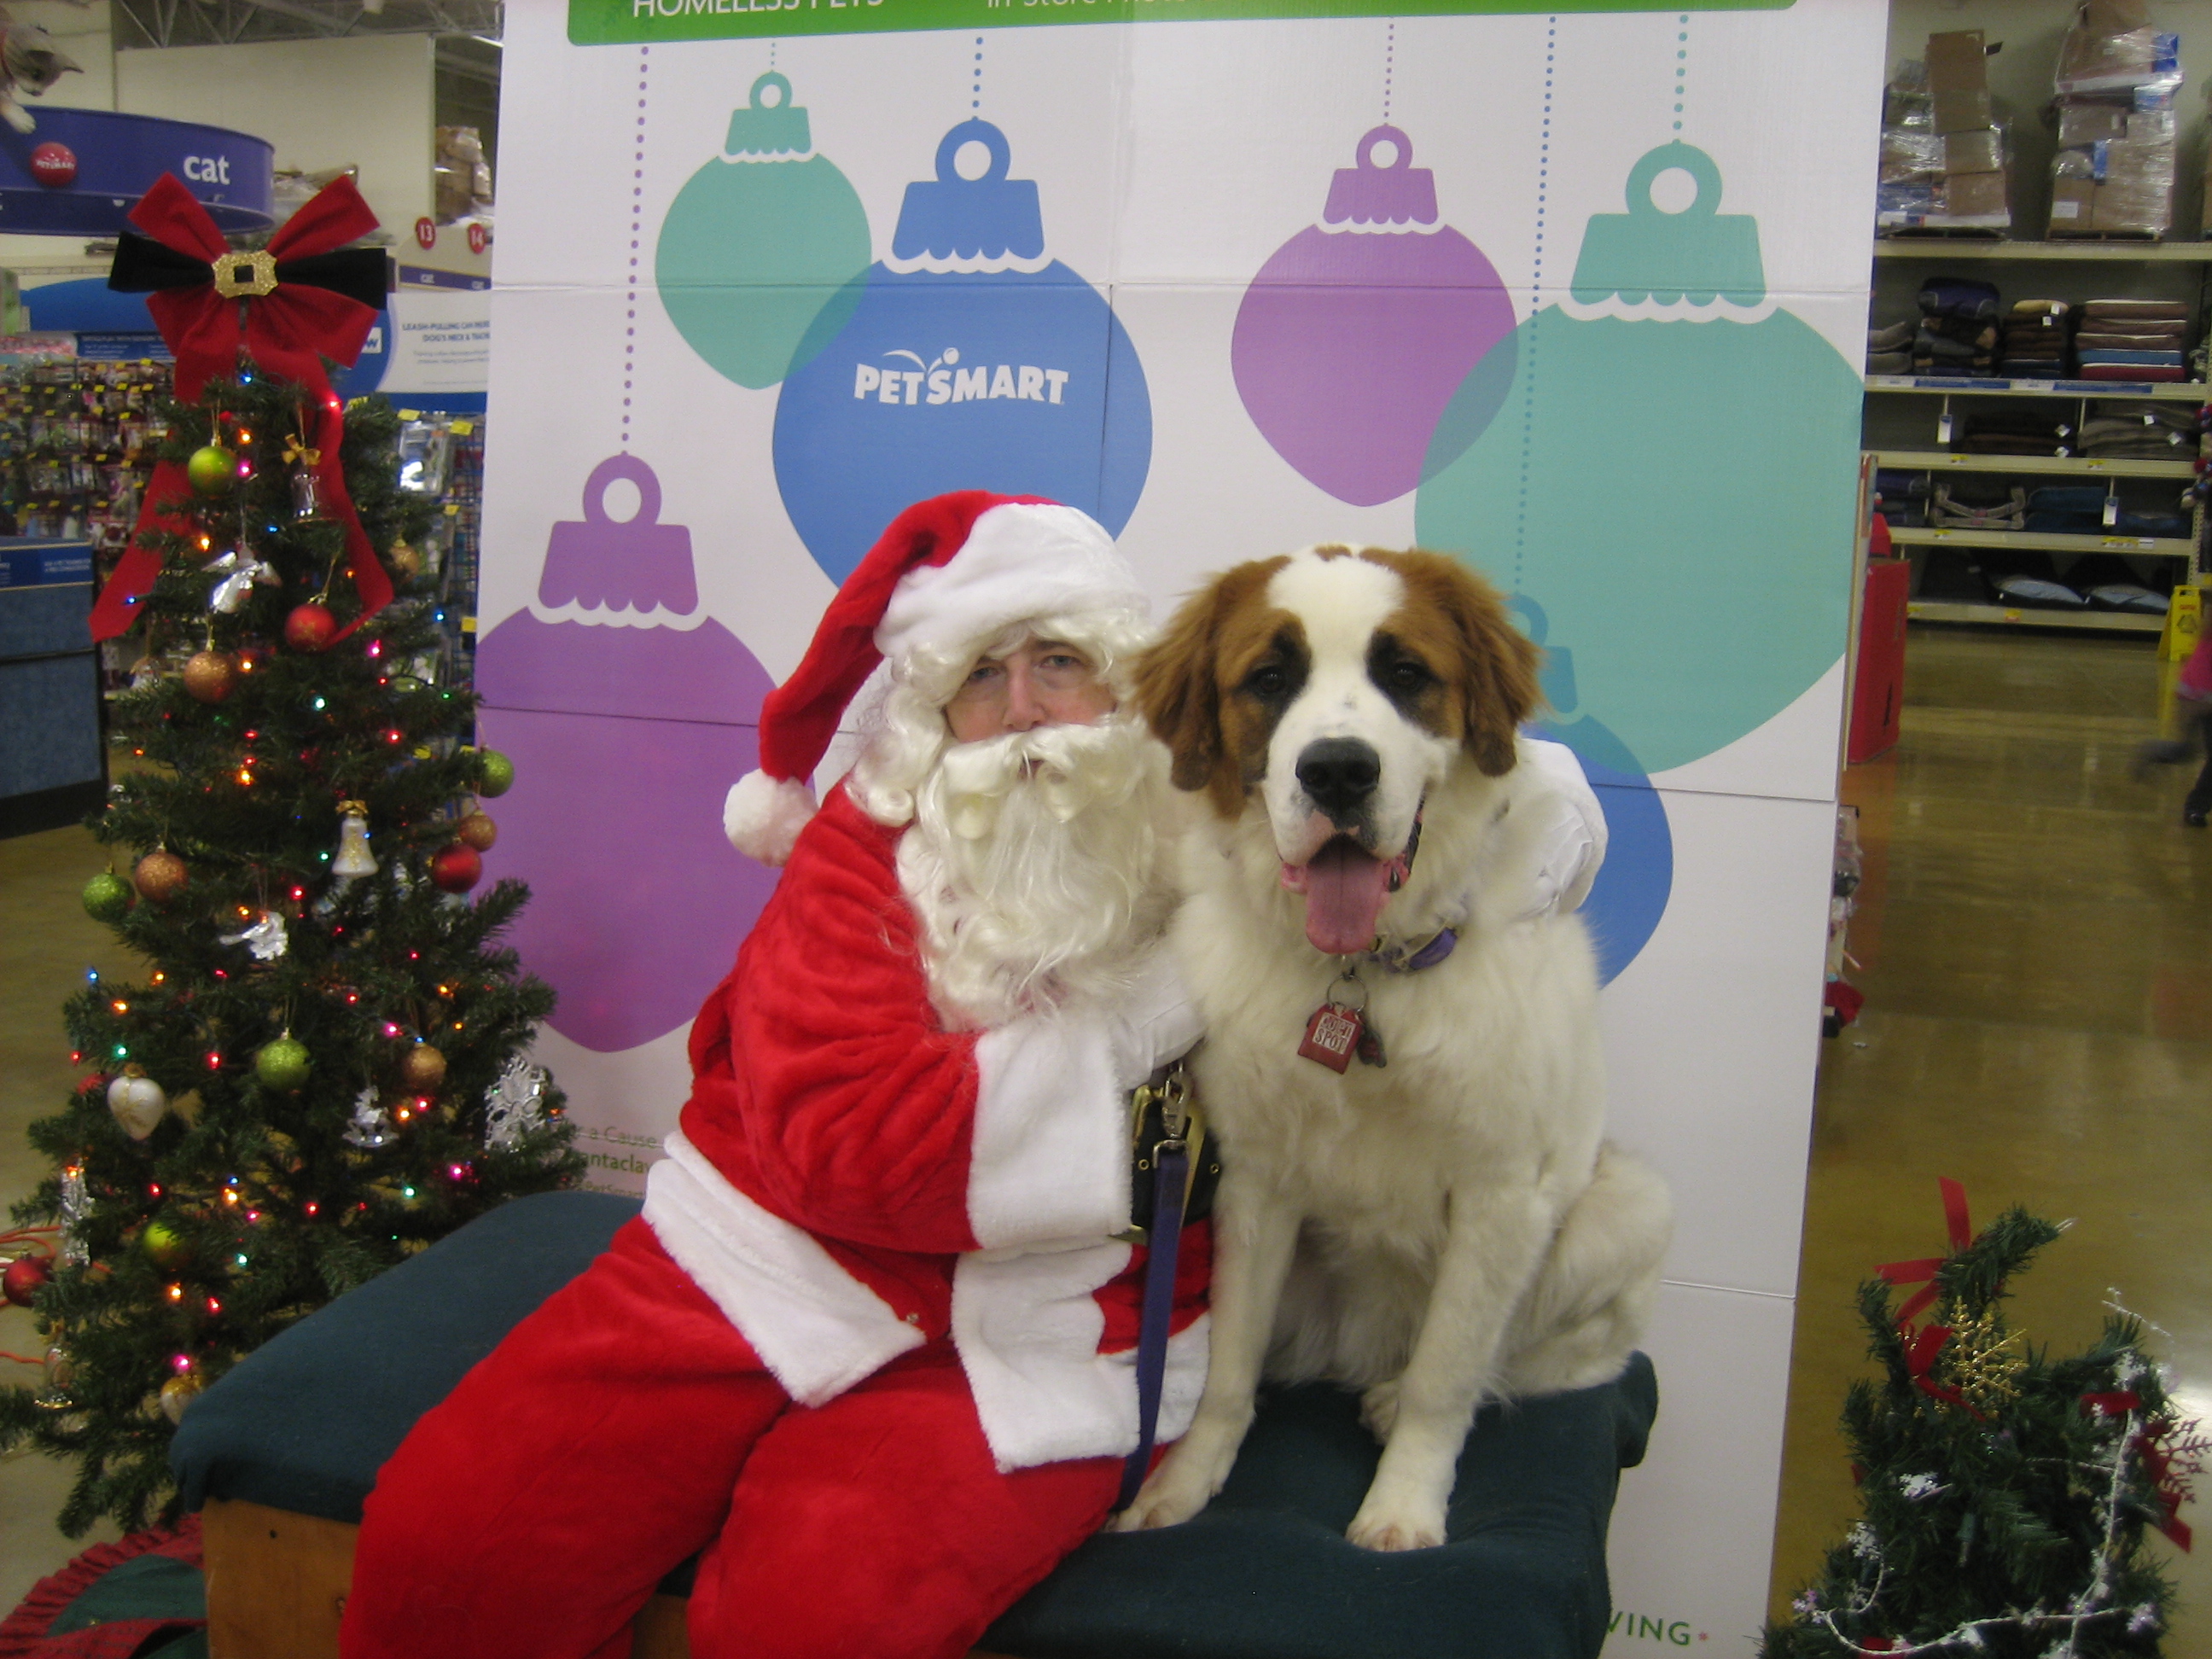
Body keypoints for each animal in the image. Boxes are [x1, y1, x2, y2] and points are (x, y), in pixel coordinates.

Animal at [1114, 544, 1672, 1552]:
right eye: (1270, 680)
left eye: (1405, 673)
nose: (1338, 771)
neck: (1363, 973)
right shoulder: (1258, 1180)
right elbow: (1227, 1365)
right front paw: (1184, 1483)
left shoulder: (1502, 1193)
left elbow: (1448, 1376)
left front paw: (1403, 1505)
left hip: (1626, 1207)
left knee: (1539, 1359)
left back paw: (1391, 1394)